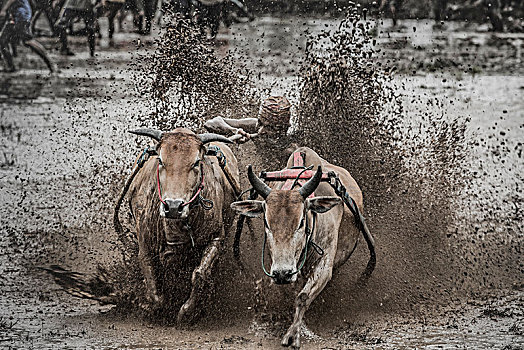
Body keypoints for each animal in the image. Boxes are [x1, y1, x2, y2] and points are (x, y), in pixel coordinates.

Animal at [129, 127, 239, 324]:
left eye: (196, 162)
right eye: (161, 160)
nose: (173, 206)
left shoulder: (216, 238)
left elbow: (200, 274)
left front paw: (187, 312)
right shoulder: (144, 243)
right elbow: (152, 279)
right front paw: (147, 306)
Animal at [230, 146, 372, 348]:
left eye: (301, 222)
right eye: (266, 223)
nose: (283, 273)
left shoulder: (324, 265)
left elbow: (302, 297)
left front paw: (294, 334)